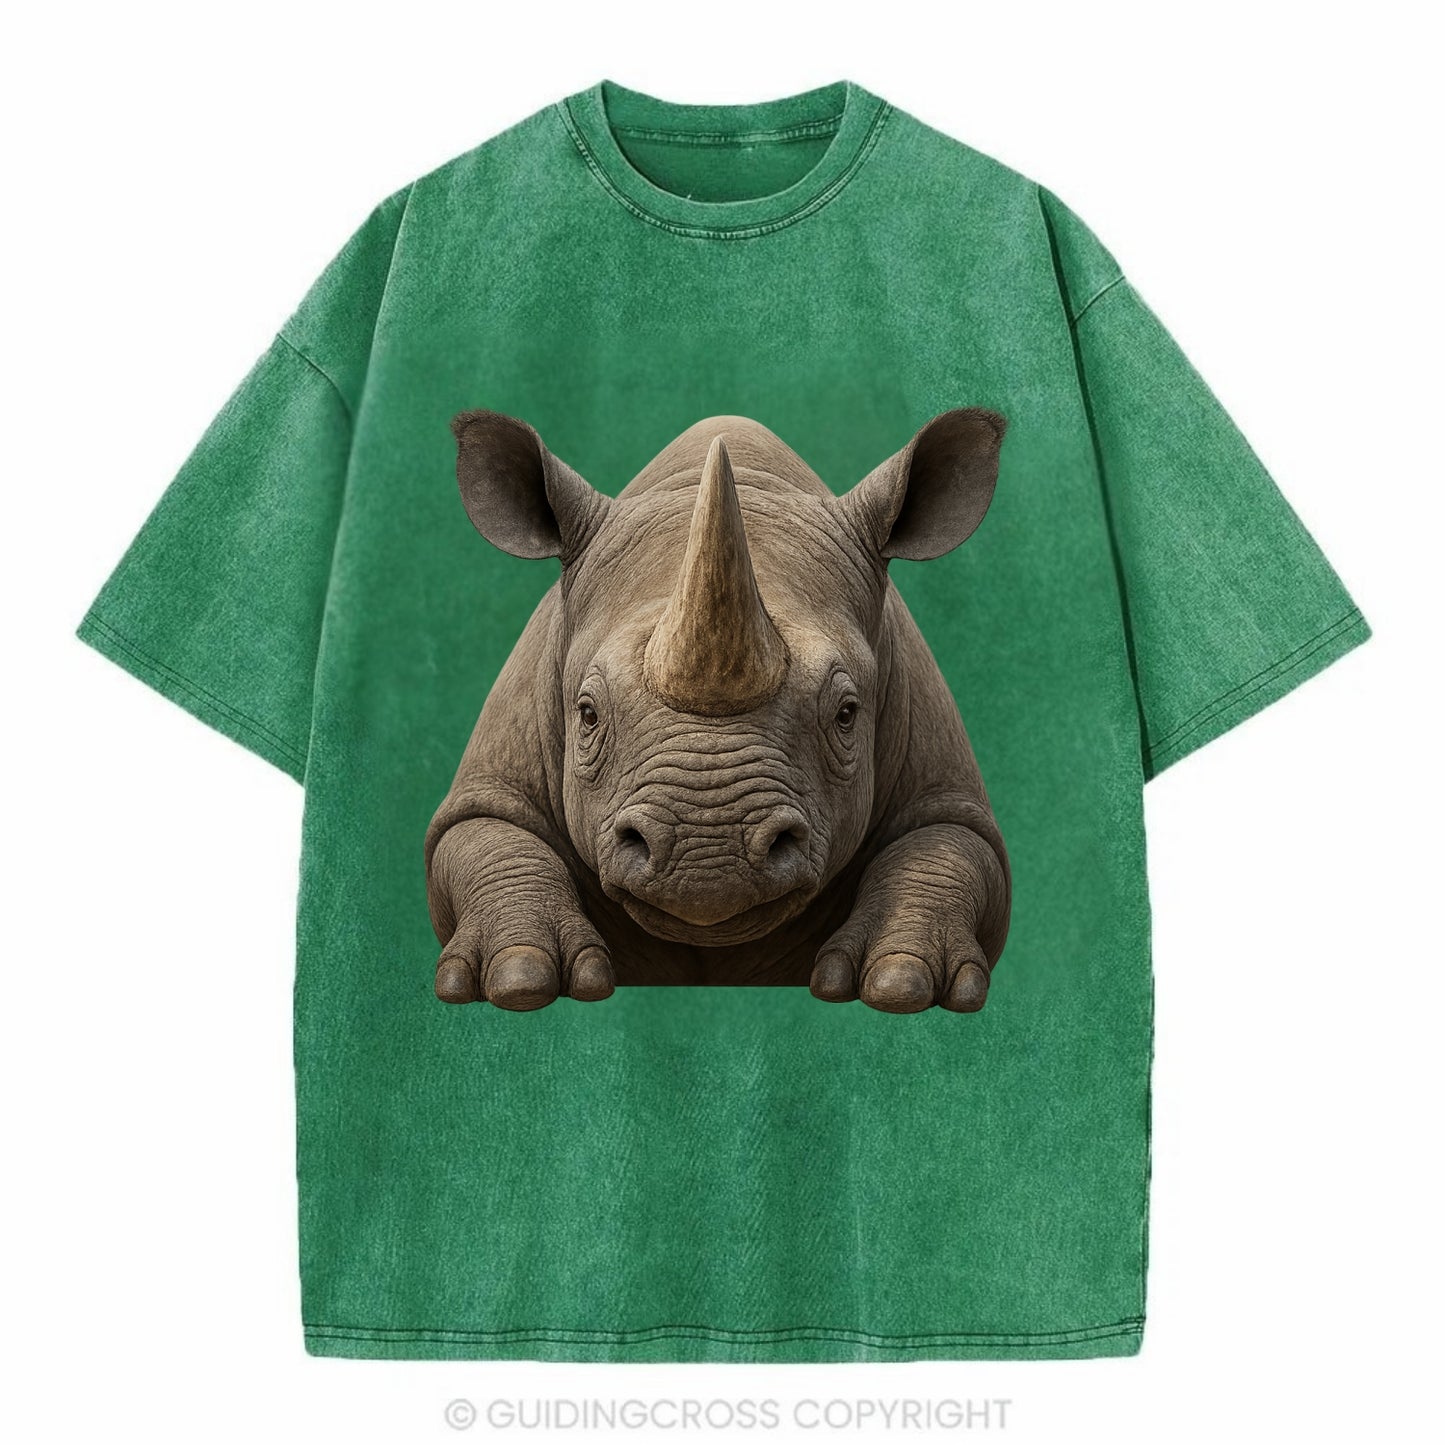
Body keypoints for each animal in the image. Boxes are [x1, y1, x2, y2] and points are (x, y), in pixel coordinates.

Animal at [424, 408, 1012, 1015]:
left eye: (847, 714)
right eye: (587, 714)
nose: (708, 858)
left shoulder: (940, 777)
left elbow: (947, 844)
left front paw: (901, 982)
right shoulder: (494, 777)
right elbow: (485, 834)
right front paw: (519, 978)